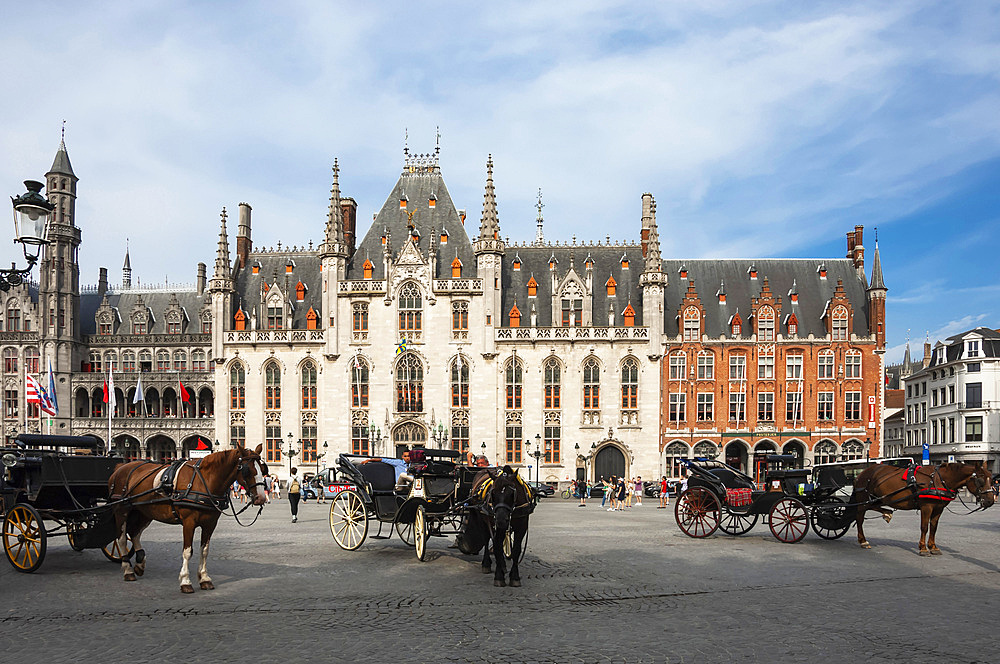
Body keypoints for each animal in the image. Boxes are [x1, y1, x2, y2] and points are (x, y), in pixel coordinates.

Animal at [108, 444, 268, 592]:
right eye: (247, 470)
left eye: (263, 469)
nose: (261, 498)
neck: (204, 481)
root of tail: (120, 467)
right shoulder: (188, 522)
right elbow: (187, 551)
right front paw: (185, 581)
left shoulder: (210, 524)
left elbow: (204, 551)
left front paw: (204, 579)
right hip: (122, 510)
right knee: (121, 538)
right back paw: (128, 570)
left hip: (144, 511)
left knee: (134, 533)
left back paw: (140, 564)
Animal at [852, 462, 992, 556]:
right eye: (980, 480)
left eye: (991, 478)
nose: (991, 500)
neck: (938, 480)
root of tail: (862, 473)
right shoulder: (926, 507)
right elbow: (924, 527)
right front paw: (923, 548)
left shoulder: (938, 508)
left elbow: (934, 527)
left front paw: (933, 547)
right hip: (863, 499)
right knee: (860, 518)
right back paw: (863, 540)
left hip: (877, 498)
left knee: (872, 507)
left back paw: (887, 513)